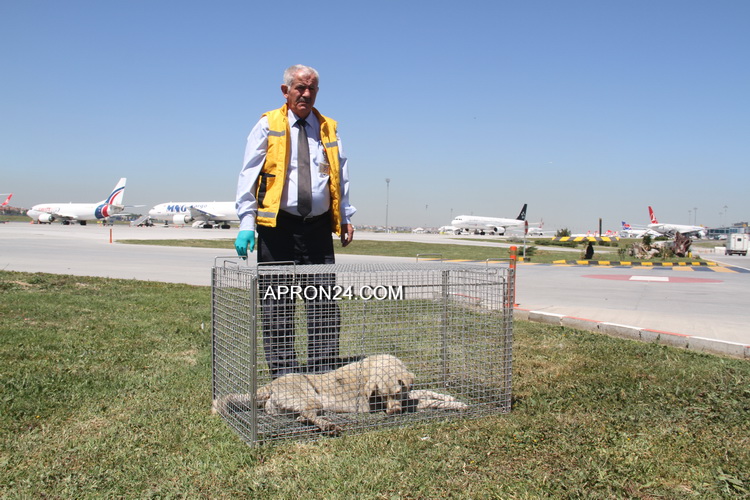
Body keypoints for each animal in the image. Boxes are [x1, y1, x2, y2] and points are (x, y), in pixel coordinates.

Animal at [214, 356, 468, 434]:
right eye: (381, 396)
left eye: (395, 392)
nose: (393, 413)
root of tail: (269, 385)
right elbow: (425, 400)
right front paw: (454, 403)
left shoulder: (407, 395)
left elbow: (427, 393)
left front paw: (453, 400)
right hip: (310, 397)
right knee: (309, 414)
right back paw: (329, 426)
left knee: (303, 416)